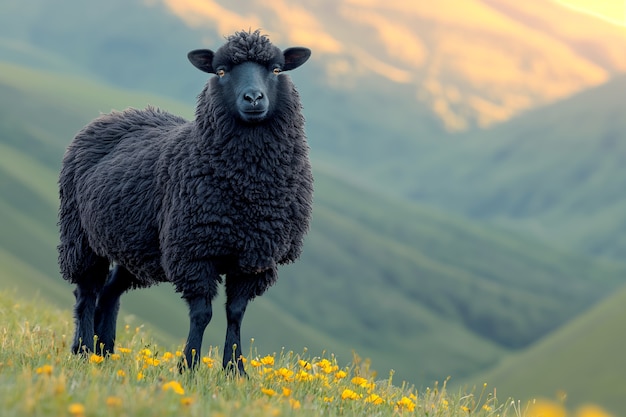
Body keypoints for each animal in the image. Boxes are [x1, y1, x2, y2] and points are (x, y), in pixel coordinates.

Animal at [57, 30, 312, 374]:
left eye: (275, 69)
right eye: (221, 71)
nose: (253, 99)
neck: (247, 189)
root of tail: (113, 114)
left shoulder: (255, 257)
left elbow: (236, 313)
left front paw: (235, 370)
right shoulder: (193, 252)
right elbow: (203, 314)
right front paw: (188, 366)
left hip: (136, 246)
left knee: (110, 292)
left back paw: (104, 350)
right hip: (80, 235)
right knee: (87, 291)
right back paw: (83, 348)